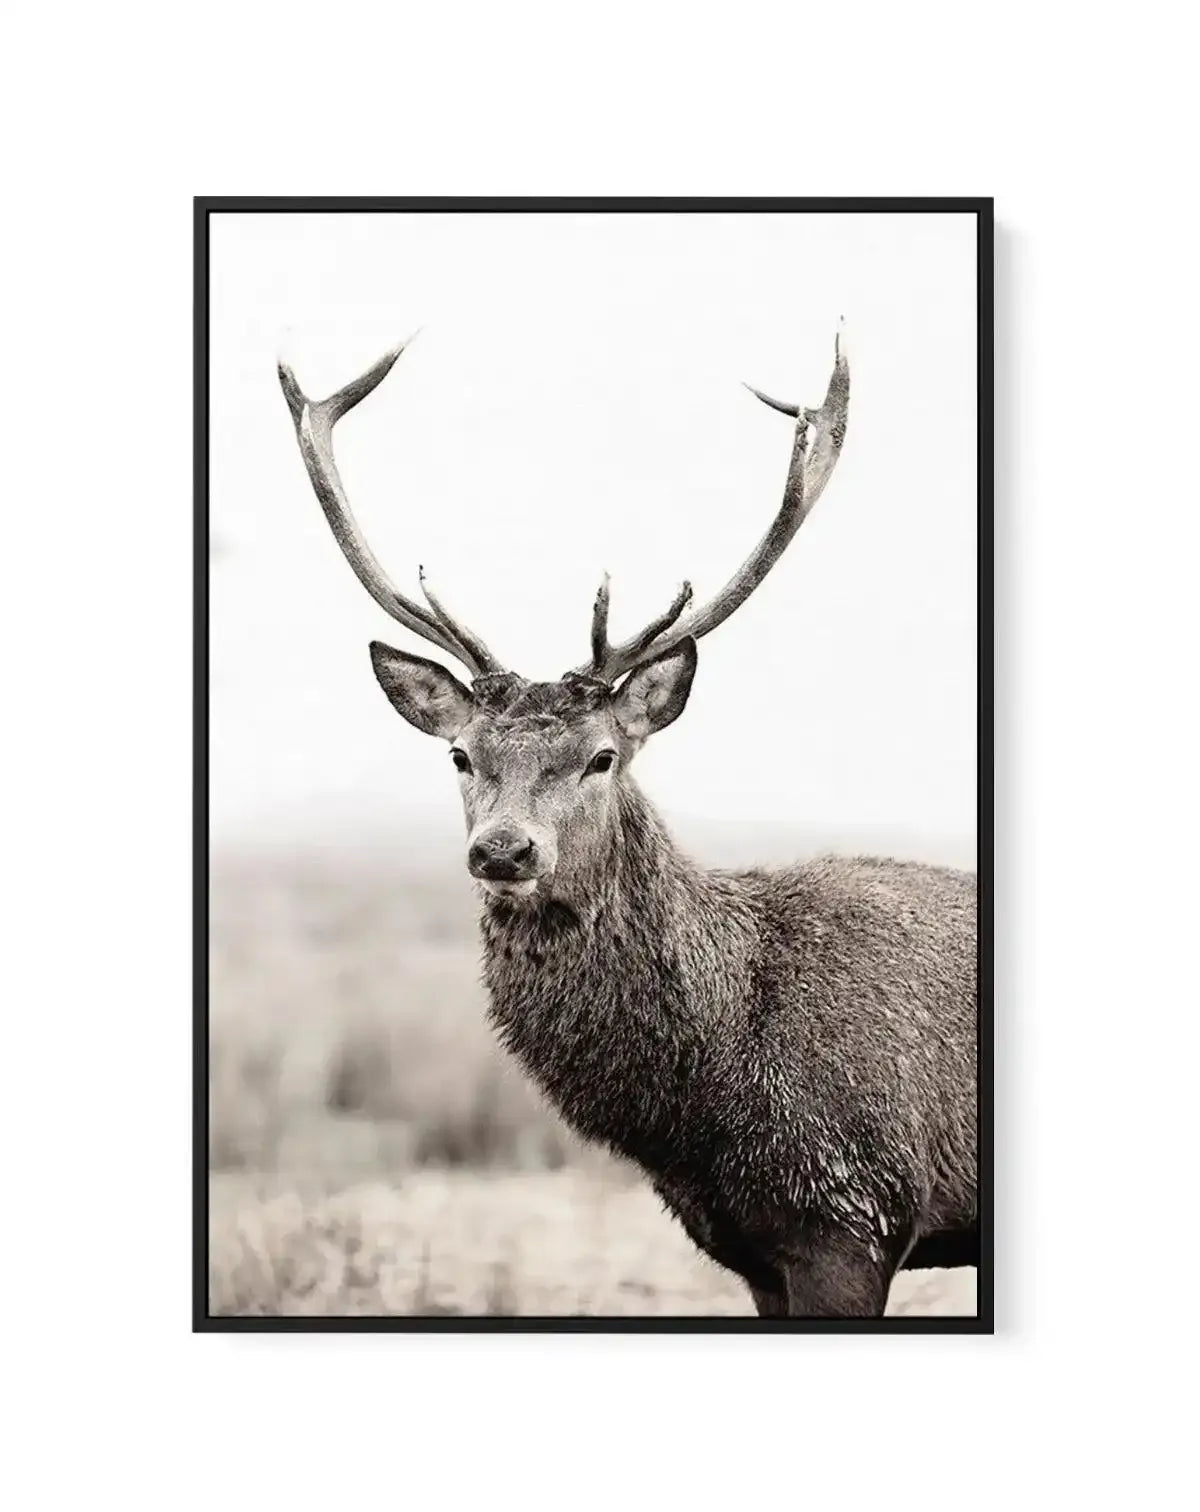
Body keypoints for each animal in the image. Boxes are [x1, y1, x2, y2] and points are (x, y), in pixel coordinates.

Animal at [277, 328, 978, 1318]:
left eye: (602, 756)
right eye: (460, 757)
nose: (503, 849)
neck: (705, 1109)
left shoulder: (853, 1214)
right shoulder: (752, 1250)